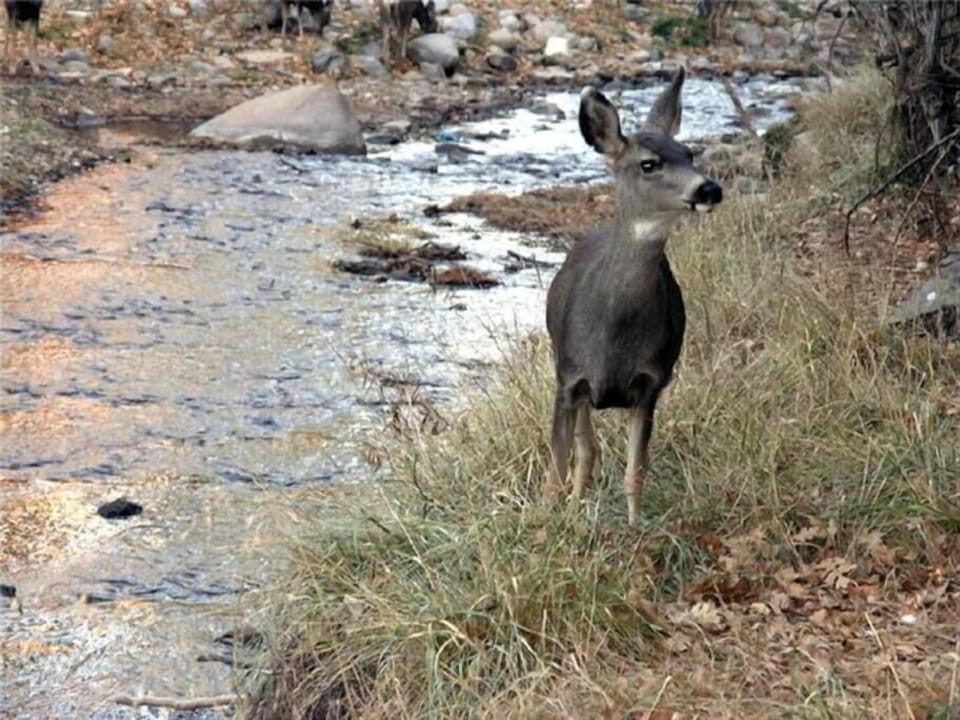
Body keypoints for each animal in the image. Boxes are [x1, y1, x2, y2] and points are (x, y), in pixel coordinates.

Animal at [545, 67, 723, 526]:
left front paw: (635, 526)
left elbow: (635, 469)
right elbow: (560, 466)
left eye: (689, 153)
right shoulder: (570, 379)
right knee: (585, 452)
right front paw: (547, 523)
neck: (615, 332)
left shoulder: (652, 382)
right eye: (649, 163)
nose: (709, 189)